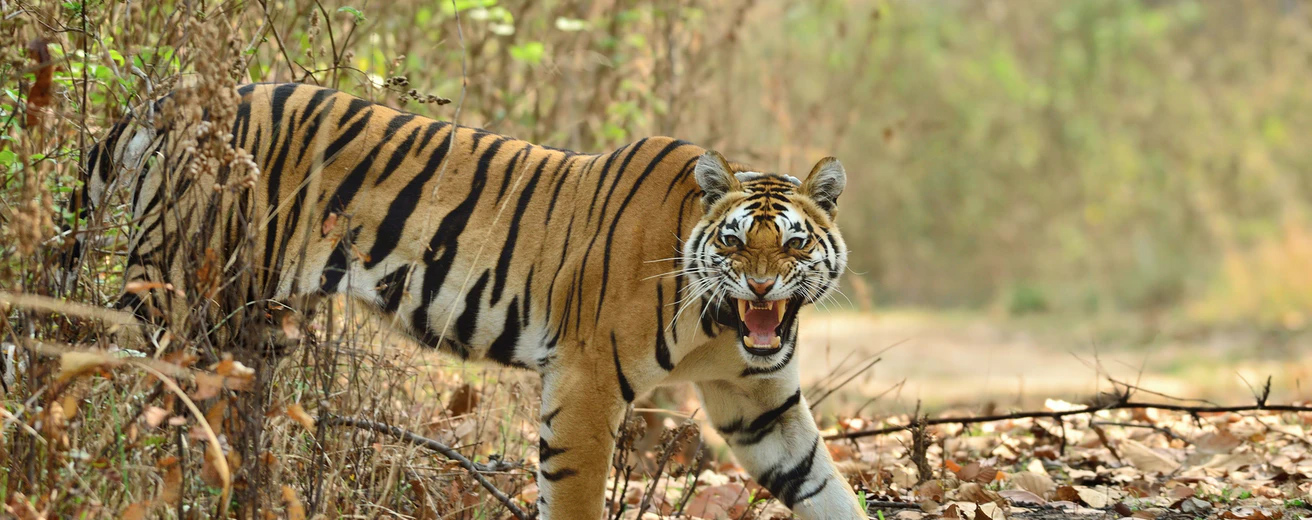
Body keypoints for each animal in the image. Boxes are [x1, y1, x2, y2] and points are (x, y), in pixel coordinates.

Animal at [79, 82, 860, 520]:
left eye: (793, 247)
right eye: (734, 241)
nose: (760, 287)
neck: (718, 324)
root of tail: (181, 97)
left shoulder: (760, 405)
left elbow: (826, 489)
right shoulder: (586, 381)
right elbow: (573, 497)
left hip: (251, 330)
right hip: (178, 293)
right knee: (116, 386)